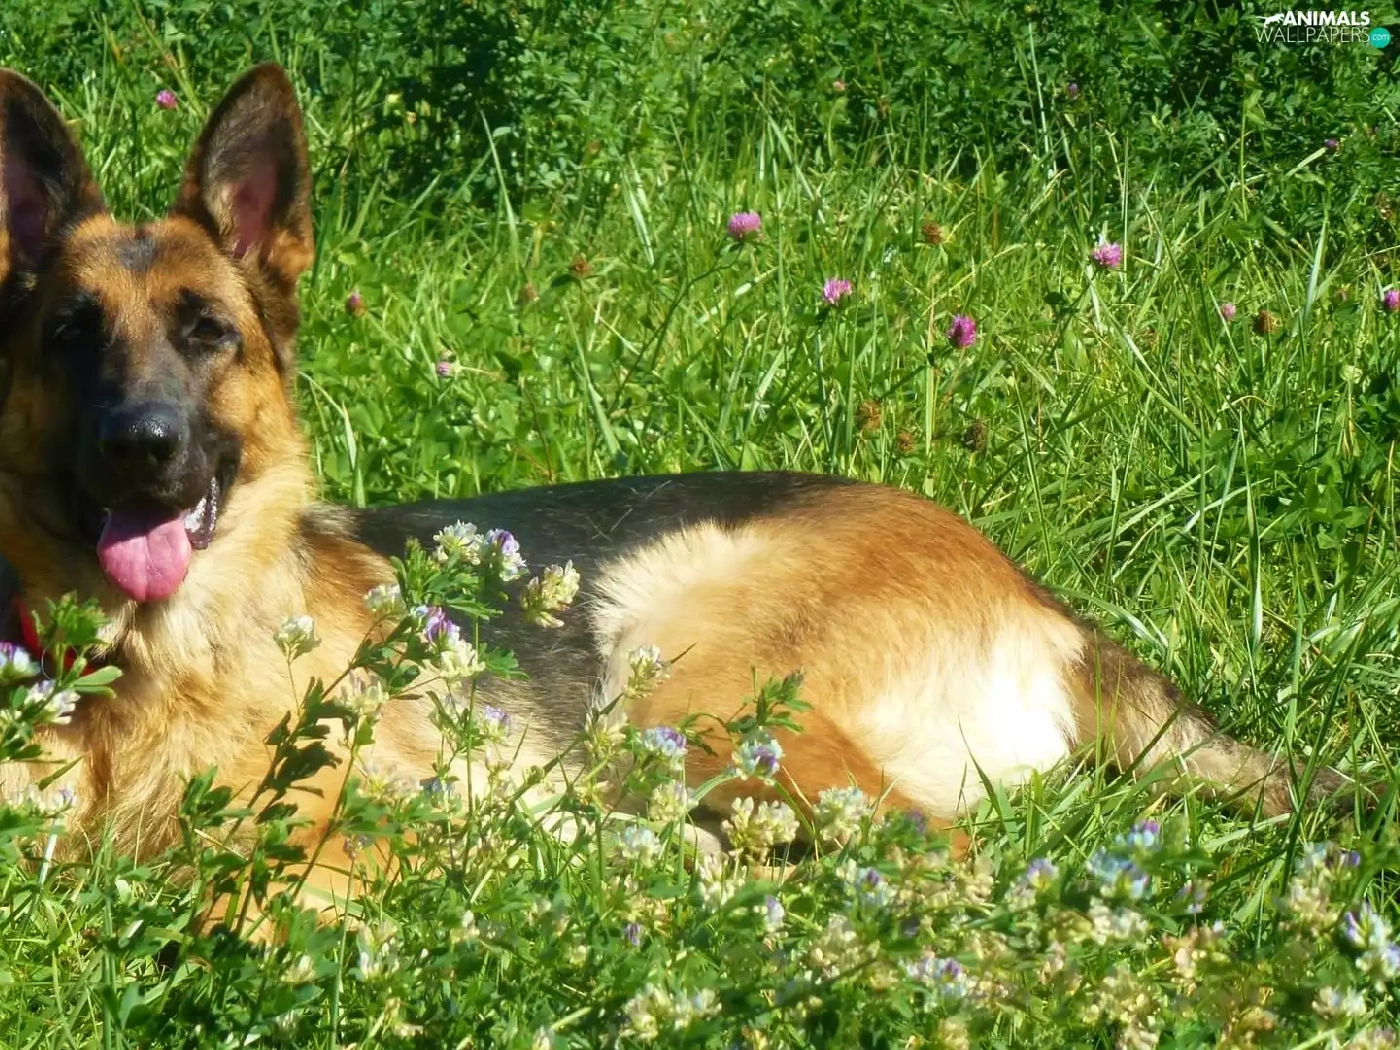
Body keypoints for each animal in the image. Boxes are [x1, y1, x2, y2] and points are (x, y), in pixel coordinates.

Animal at [0, 64, 1351, 916]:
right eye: (70, 336)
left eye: (208, 333)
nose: (143, 448)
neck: (148, 672)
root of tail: (1037, 596)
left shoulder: (395, 808)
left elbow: (259, 881)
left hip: (688, 676)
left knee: (931, 860)